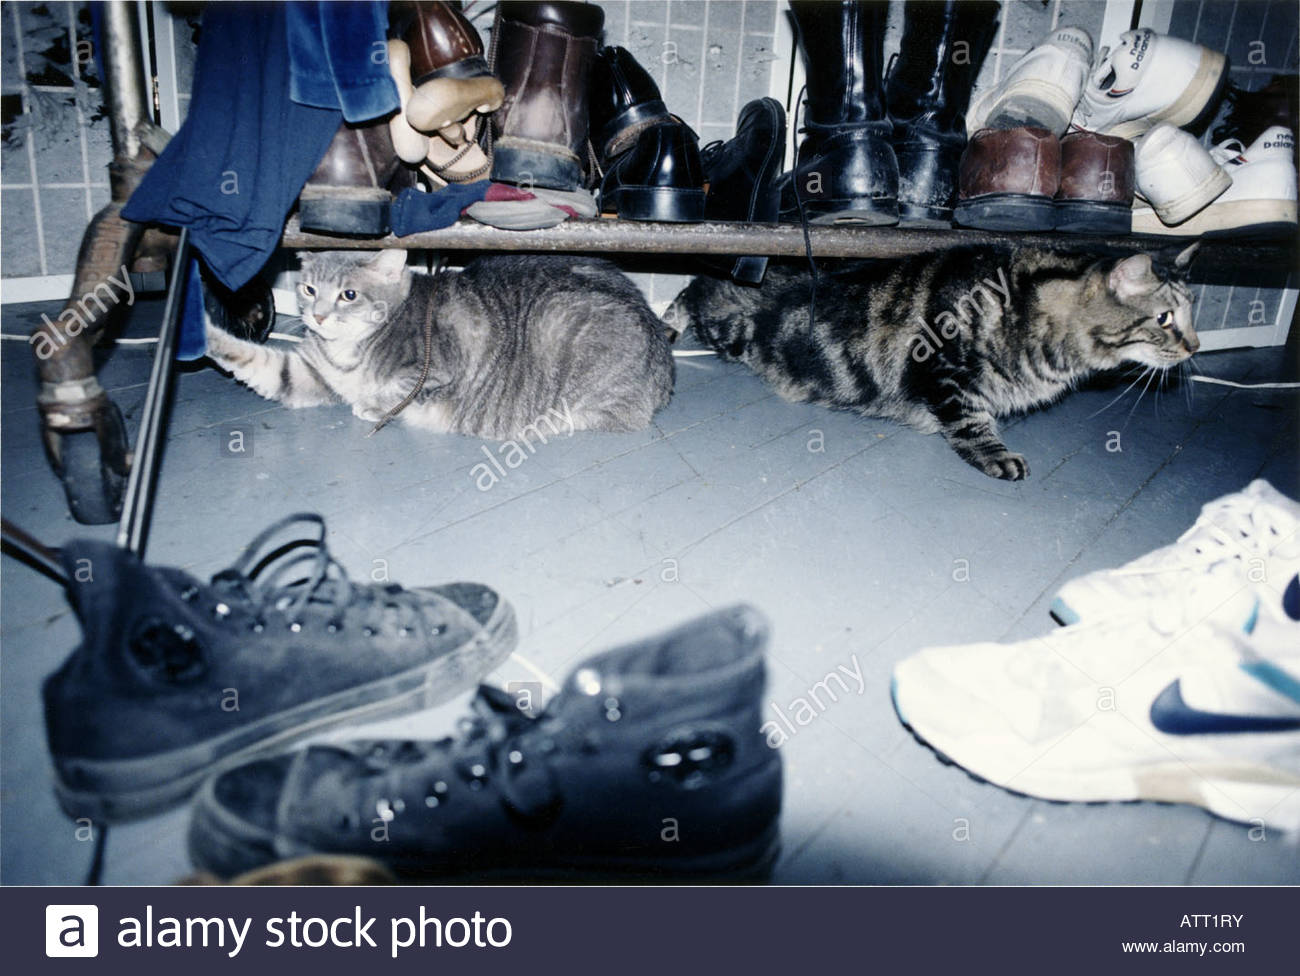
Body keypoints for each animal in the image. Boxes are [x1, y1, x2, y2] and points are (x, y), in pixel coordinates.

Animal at [204, 249, 676, 436]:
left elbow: (396, 390)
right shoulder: (307, 374)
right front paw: (204, 331)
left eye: (348, 295)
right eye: (308, 289)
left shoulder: (441, 365)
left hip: (563, 324)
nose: (317, 316)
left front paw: (371, 405)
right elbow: (253, 360)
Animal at [670, 240, 1196, 478]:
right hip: (733, 329)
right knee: (693, 292)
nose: (1195, 346)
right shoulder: (944, 373)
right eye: (1165, 317)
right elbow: (971, 424)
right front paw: (996, 456)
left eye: (1193, 312)